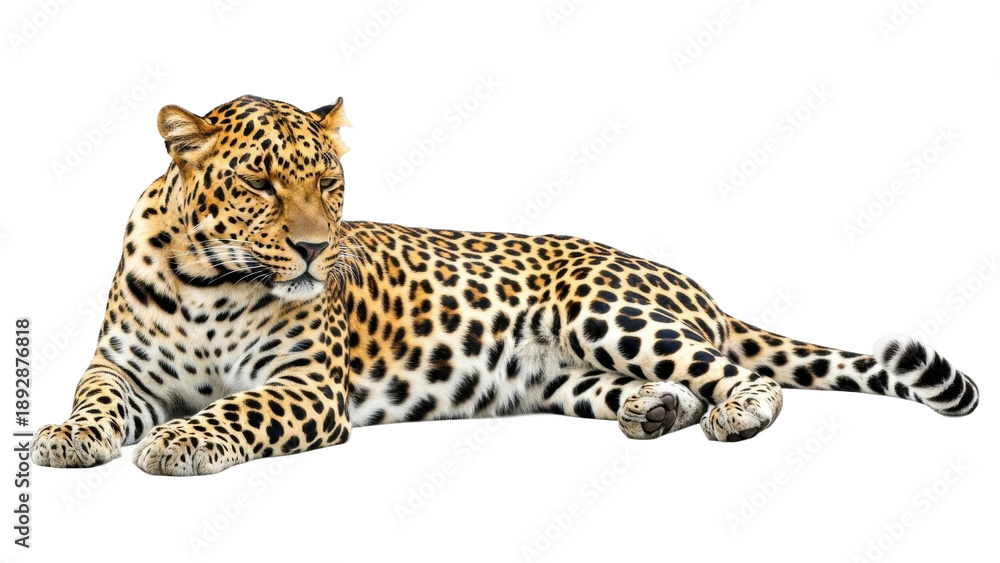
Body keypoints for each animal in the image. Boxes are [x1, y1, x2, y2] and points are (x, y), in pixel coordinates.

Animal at [31, 95, 980, 476]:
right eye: (261, 184)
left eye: (329, 184)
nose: (311, 250)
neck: (206, 282)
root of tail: (688, 279)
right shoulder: (121, 367)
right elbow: (93, 399)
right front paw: (65, 437)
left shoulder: (304, 385)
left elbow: (234, 408)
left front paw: (179, 442)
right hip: (563, 375)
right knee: (658, 386)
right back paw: (653, 411)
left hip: (603, 309)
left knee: (740, 372)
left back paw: (737, 413)